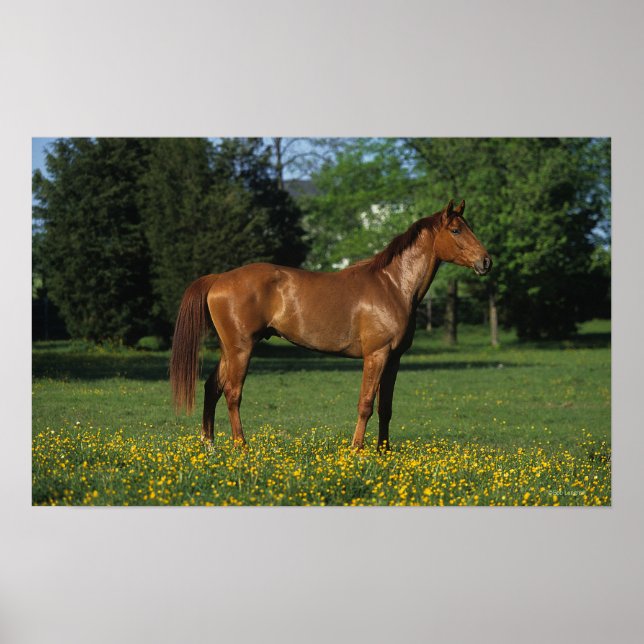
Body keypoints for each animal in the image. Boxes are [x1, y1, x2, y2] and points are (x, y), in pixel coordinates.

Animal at [169, 199, 492, 450]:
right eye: (456, 229)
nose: (486, 261)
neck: (393, 286)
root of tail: (219, 279)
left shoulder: (394, 359)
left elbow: (385, 408)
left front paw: (384, 452)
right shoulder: (376, 355)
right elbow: (366, 404)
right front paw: (356, 450)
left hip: (229, 349)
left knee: (212, 388)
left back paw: (210, 446)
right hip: (241, 349)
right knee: (232, 394)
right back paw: (242, 447)